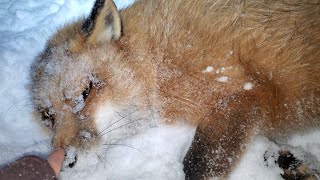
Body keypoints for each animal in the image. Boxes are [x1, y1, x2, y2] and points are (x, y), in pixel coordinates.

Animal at [30, 0, 320, 179]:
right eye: (47, 116)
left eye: (86, 91)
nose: (66, 161)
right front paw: (294, 164)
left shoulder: (243, 91)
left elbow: (196, 165)